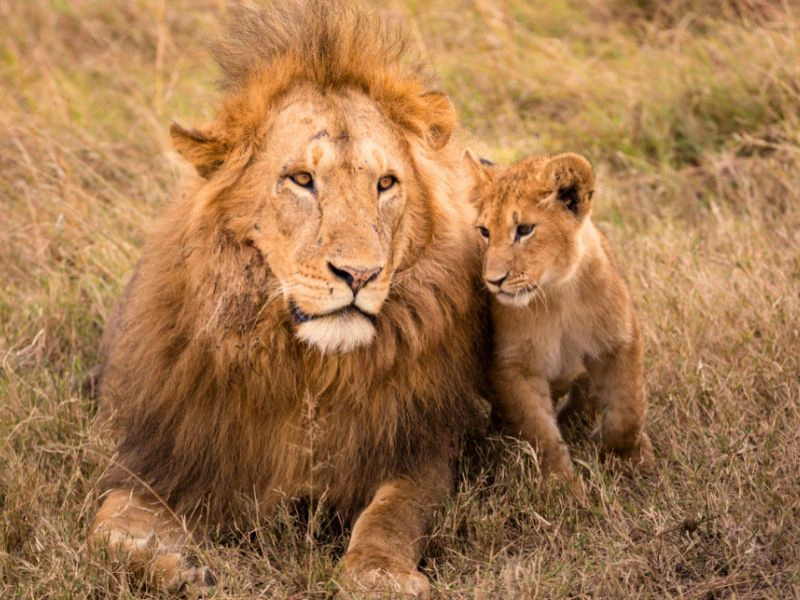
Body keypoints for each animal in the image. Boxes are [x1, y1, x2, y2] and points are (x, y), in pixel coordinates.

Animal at [87, 2, 488, 596]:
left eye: (386, 184)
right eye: (302, 179)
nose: (360, 274)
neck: (309, 372)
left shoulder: (421, 447)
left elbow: (393, 513)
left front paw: (379, 575)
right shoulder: (167, 457)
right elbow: (105, 532)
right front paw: (182, 570)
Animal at [464, 151, 653, 484]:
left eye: (524, 230)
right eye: (485, 231)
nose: (493, 280)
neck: (556, 294)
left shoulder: (621, 341)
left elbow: (629, 409)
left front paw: (629, 459)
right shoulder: (512, 367)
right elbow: (541, 435)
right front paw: (562, 487)